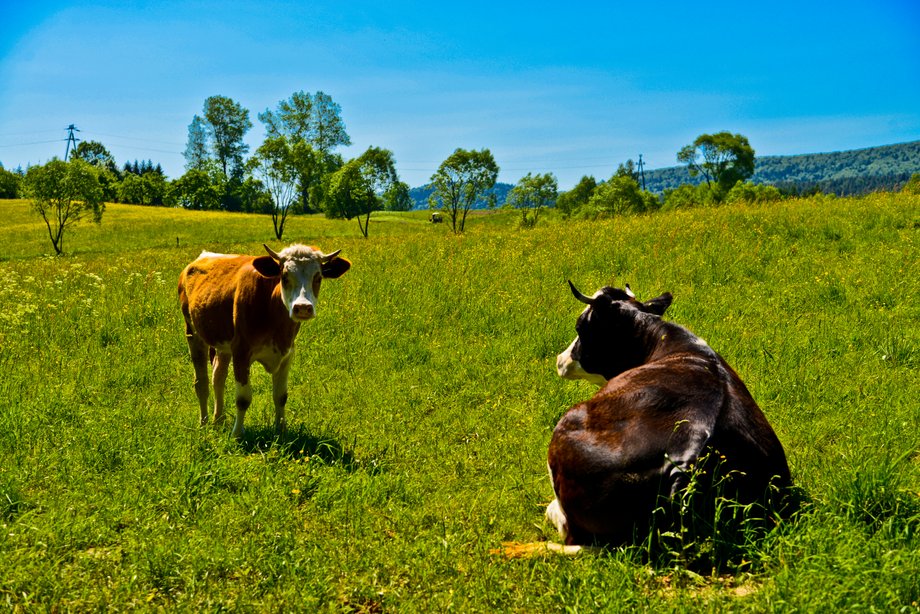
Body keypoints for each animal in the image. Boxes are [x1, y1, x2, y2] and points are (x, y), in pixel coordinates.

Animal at [178, 243, 350, 440]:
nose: (302, 308)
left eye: (318, 277)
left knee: (218, 377)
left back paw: (218, 420)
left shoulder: (287, 354)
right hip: (193, 334)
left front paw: (281, 431)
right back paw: (204, 422)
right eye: (284, 276)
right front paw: (238, 434)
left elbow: (281, 396)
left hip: (223, 345)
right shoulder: (241, 352)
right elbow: (243, 399)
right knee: (202, 383)